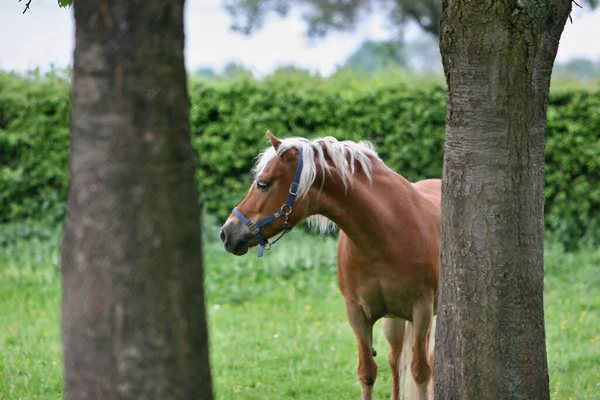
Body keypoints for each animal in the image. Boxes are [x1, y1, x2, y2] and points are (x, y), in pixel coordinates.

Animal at [220, 131, 440, 400]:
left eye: (263, 183)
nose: (226, 233)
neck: (387, 233)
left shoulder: (422, 311)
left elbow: (421, 371)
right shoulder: (357, 314)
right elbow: (367, 372)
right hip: (395, 321)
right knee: (395, 360)